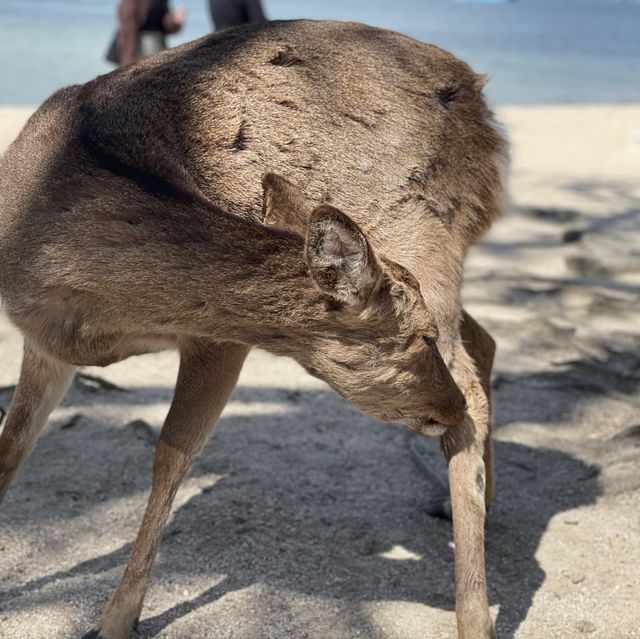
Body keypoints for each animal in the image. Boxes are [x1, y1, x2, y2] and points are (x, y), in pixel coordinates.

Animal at [0, 20, 504, 639]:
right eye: (418, 337)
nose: (446, 409)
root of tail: (478, 103)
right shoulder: (42, 343)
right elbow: (12, 447)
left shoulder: (221, 340)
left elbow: (172, 453)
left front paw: (115, 619)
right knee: (484, 344)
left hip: (422, 226)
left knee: (476, 382)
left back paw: (474, 616)